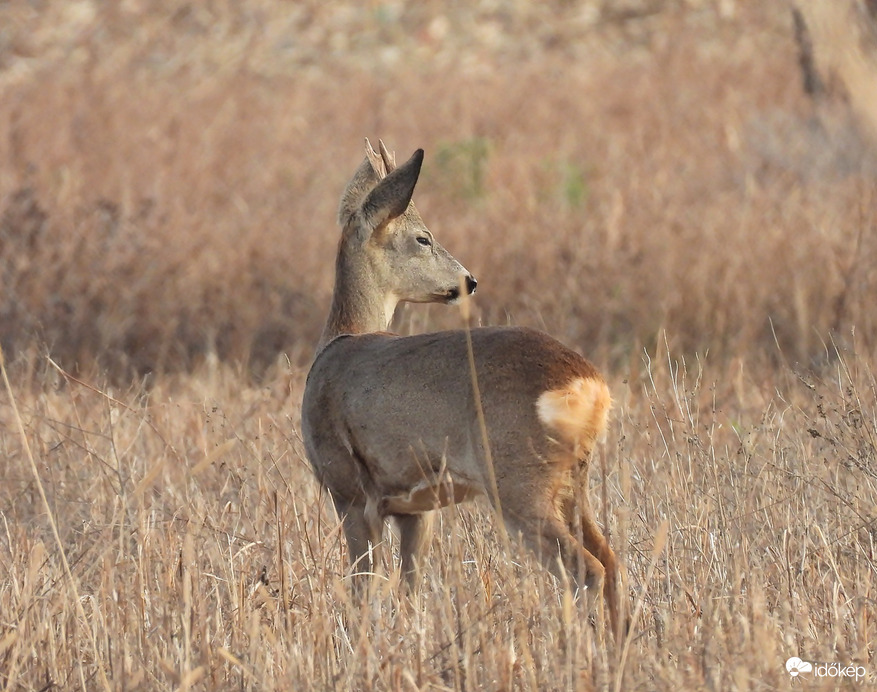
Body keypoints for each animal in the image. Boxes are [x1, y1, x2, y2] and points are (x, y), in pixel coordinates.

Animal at [304, 138, 628, 636]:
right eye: (423, 238)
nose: (468, 281)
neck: (339, 341)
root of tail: (589, 384)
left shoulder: (350, 490)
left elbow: (364, 592)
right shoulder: (415, 509)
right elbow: (410, 590)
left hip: (517, 480)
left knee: (585, 568)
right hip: (574, 481)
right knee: (611, 562)